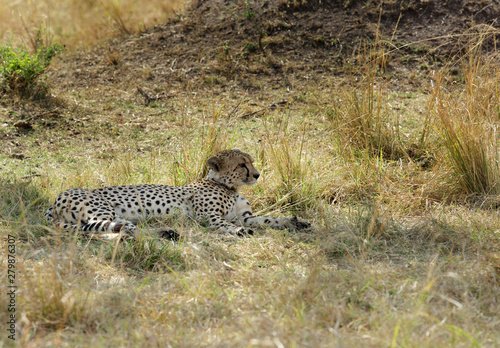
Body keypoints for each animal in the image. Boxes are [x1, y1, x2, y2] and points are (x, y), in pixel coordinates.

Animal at [47, 150, 312, 239]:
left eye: (252, 162)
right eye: (241, 165)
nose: (257, 175)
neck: (228, 186)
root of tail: (54, 199)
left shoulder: (246, 216)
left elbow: (270, 219)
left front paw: (295, 222)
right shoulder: (207, 216)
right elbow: (223, 224)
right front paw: (237, 231)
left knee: (121, 227)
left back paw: (166, 232)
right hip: (102, 210)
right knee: (119, 228)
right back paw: (165, 233)